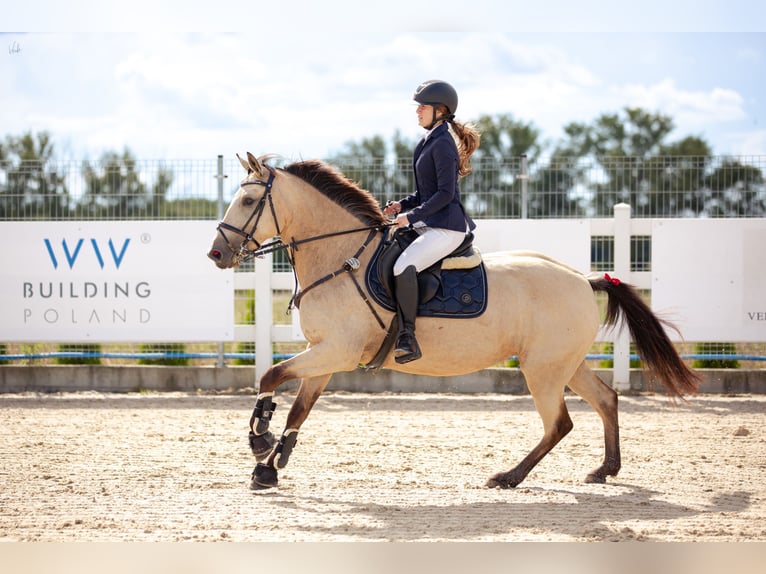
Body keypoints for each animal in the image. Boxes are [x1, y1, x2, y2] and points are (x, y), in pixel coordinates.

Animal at [207, 152, 699, 490]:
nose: (216, 254)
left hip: (542, 369)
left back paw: (509, 477)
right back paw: (604, 469)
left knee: (560, 423)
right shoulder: (325, 355)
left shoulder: (337, 352)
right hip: (564, 363)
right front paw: (270, 465)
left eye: (248, 199)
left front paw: (260, 441)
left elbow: (270, 376)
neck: (340, 257)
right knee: (606, 399)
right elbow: (299, 409)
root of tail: (584, 277)